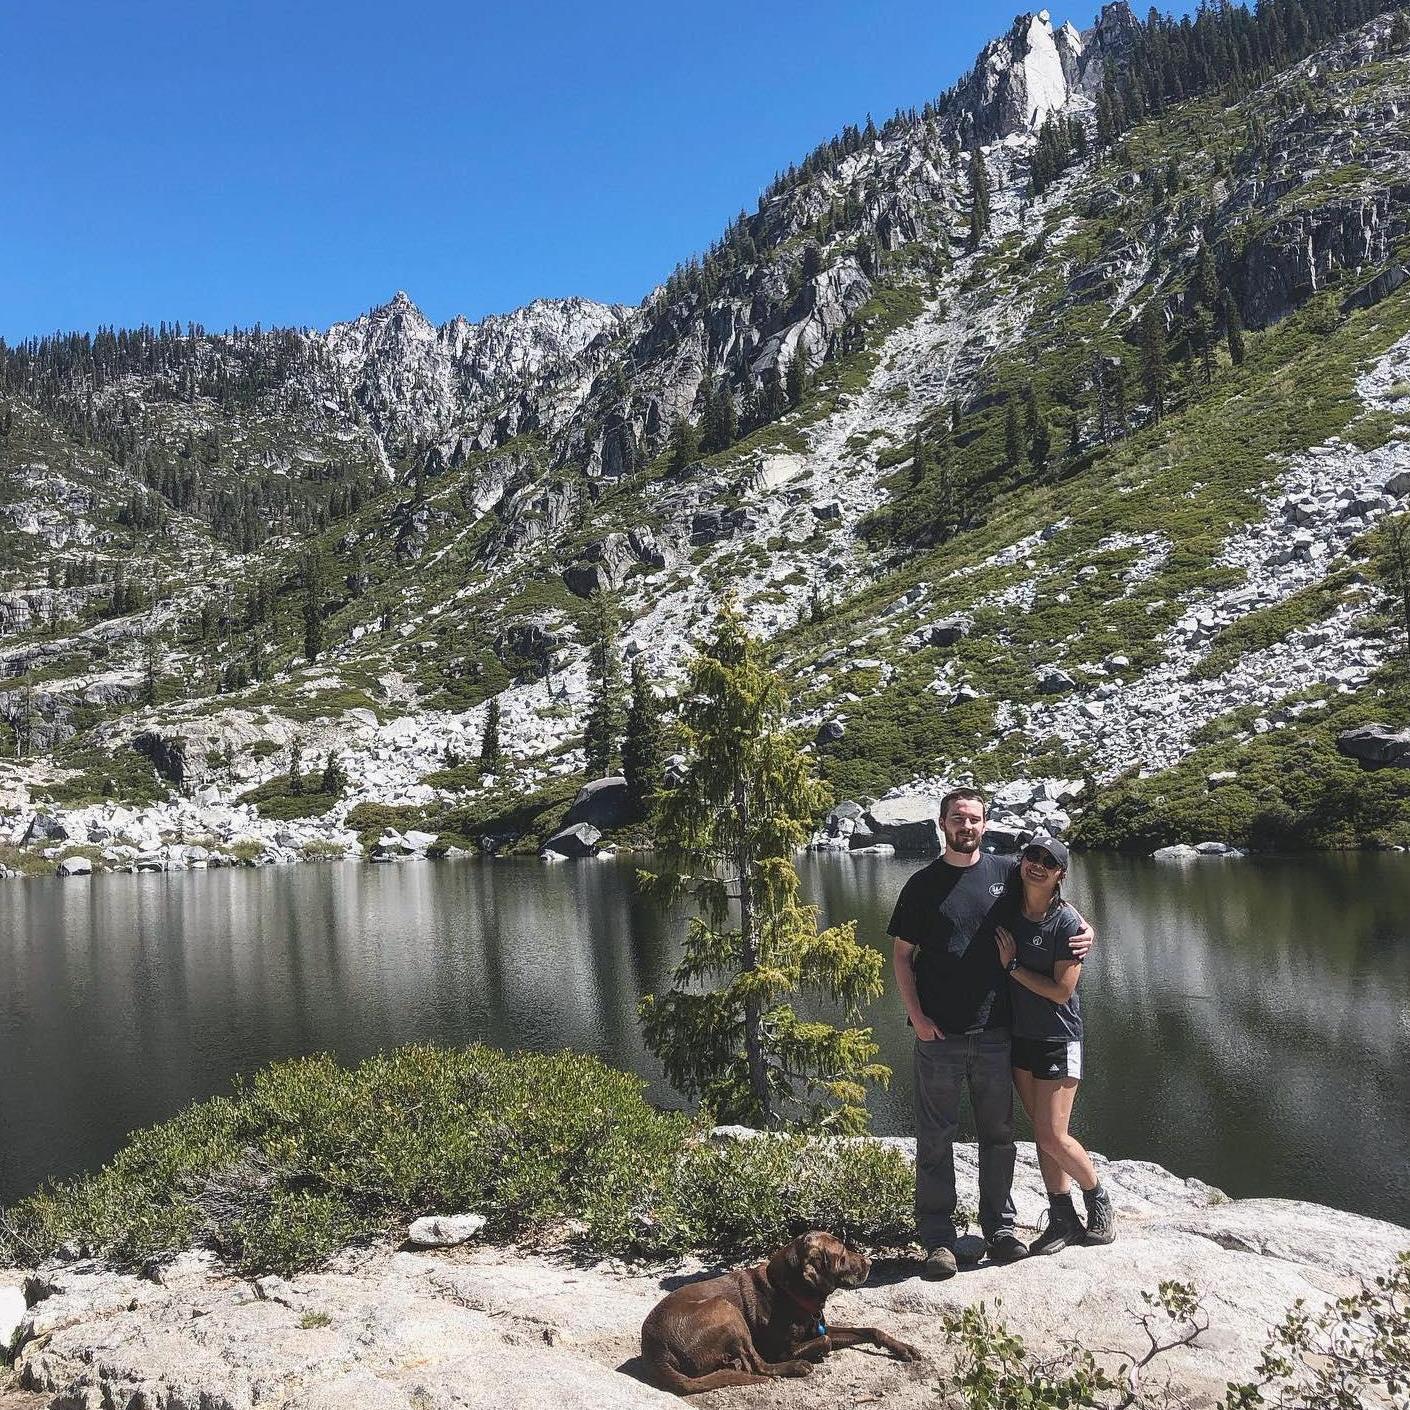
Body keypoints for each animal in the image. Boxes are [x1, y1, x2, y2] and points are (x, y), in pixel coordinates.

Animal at [642, 1229, 924, 1393]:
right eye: (842, 1255)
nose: (870, 1262)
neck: (788, 1290)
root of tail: (656, 1352)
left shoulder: (822, 1325)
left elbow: (870, 1330)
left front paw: (903, 1348)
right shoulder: (782, 1348)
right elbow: (824, 1341)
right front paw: (814, 1355)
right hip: (725, 1309)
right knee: (757, 1366)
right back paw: (797, 1366)